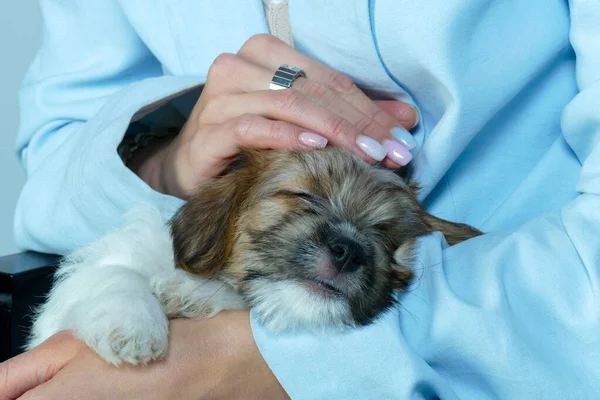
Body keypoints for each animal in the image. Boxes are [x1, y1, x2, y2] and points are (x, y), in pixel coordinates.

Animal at [25, 148, 480, 366]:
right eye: (303, 195)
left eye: (386, 235)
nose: (348, 251)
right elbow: (118, 276)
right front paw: (133, 327)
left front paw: (192, 292)